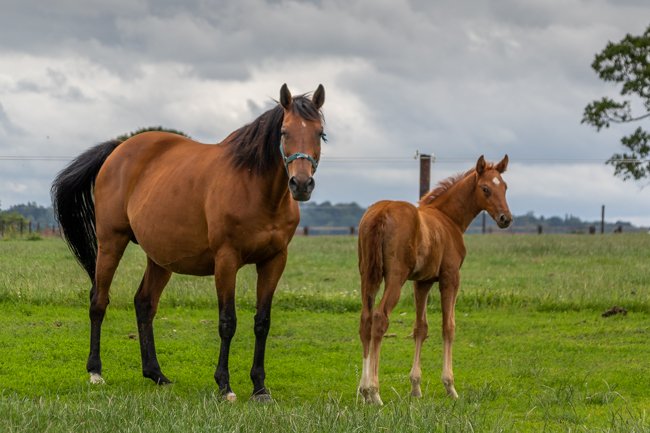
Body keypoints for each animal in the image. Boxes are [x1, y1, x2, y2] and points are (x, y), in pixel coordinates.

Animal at [52, 82, 324, 400]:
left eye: (320, 133)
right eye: (284, 132)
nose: (301, 184)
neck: (254, 187)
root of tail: (118, 149)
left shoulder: (274, 260)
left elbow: (262, 322)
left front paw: (259, 387)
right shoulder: (226, 260)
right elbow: (227, 322)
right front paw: (224, 385)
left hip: (160, 258)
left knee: (144, 304)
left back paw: (156, 374)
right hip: (111, 243)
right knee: (98, 301)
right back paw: (95, 372)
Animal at [354, 154, 512, 404]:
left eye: (504, 187)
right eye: (485, 189)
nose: (506, 218)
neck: (449, 219)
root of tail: (380, 213)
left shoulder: (423, 282)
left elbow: (421, 328)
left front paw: (415, 387)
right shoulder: (450, 277)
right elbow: (448, 326)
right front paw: (450, 386)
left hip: (368, 276)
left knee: (365, 320)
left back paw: (363, 390)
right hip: (395, 278)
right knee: (380, 318)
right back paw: (374, 392)